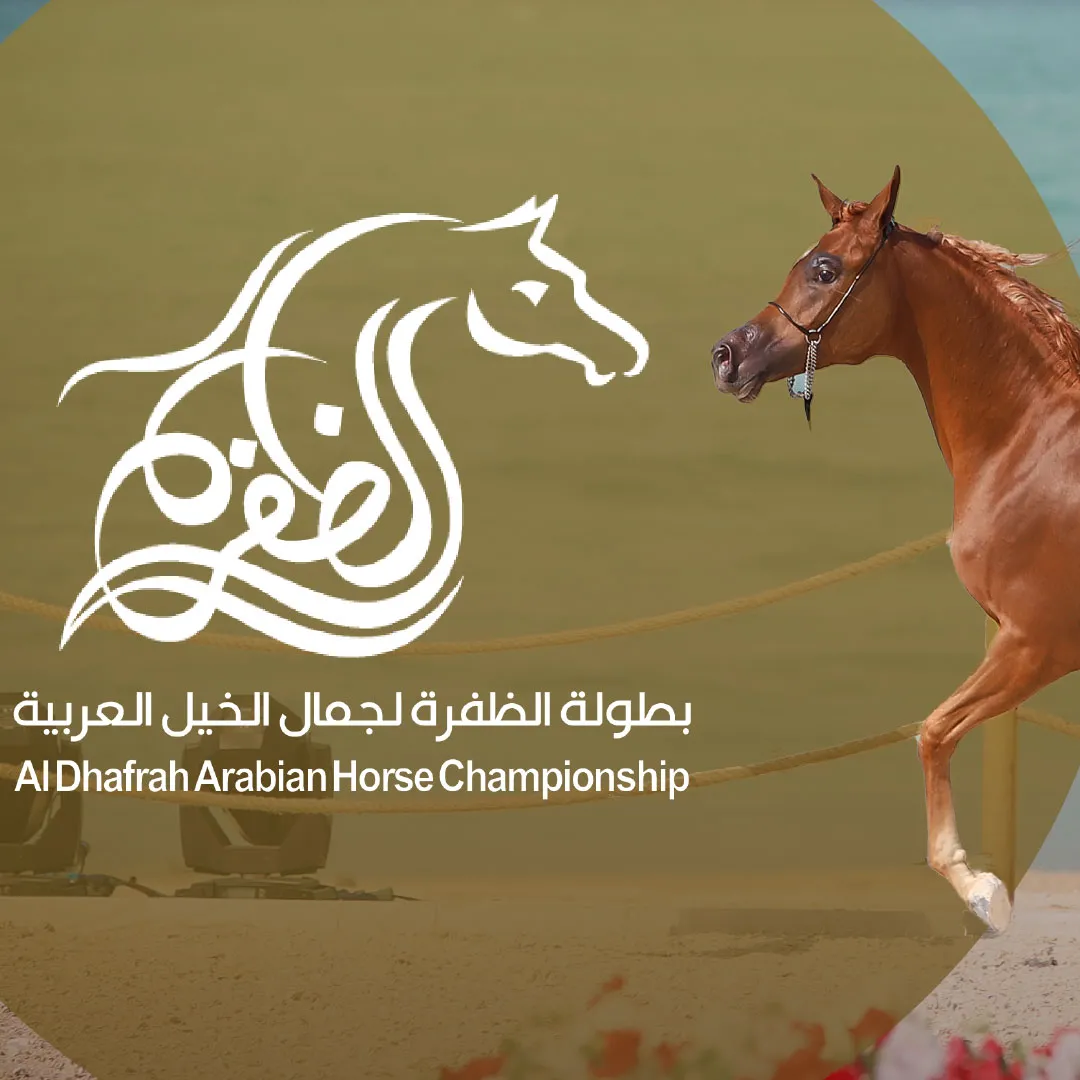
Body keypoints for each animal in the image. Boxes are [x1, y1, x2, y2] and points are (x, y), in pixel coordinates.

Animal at [710, 166, 1080, 933]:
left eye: (824, 268)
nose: (726, 356)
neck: (1032, 445)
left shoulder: (1037, 642)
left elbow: (933, 732)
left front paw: (979, 887)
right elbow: (935, 731)